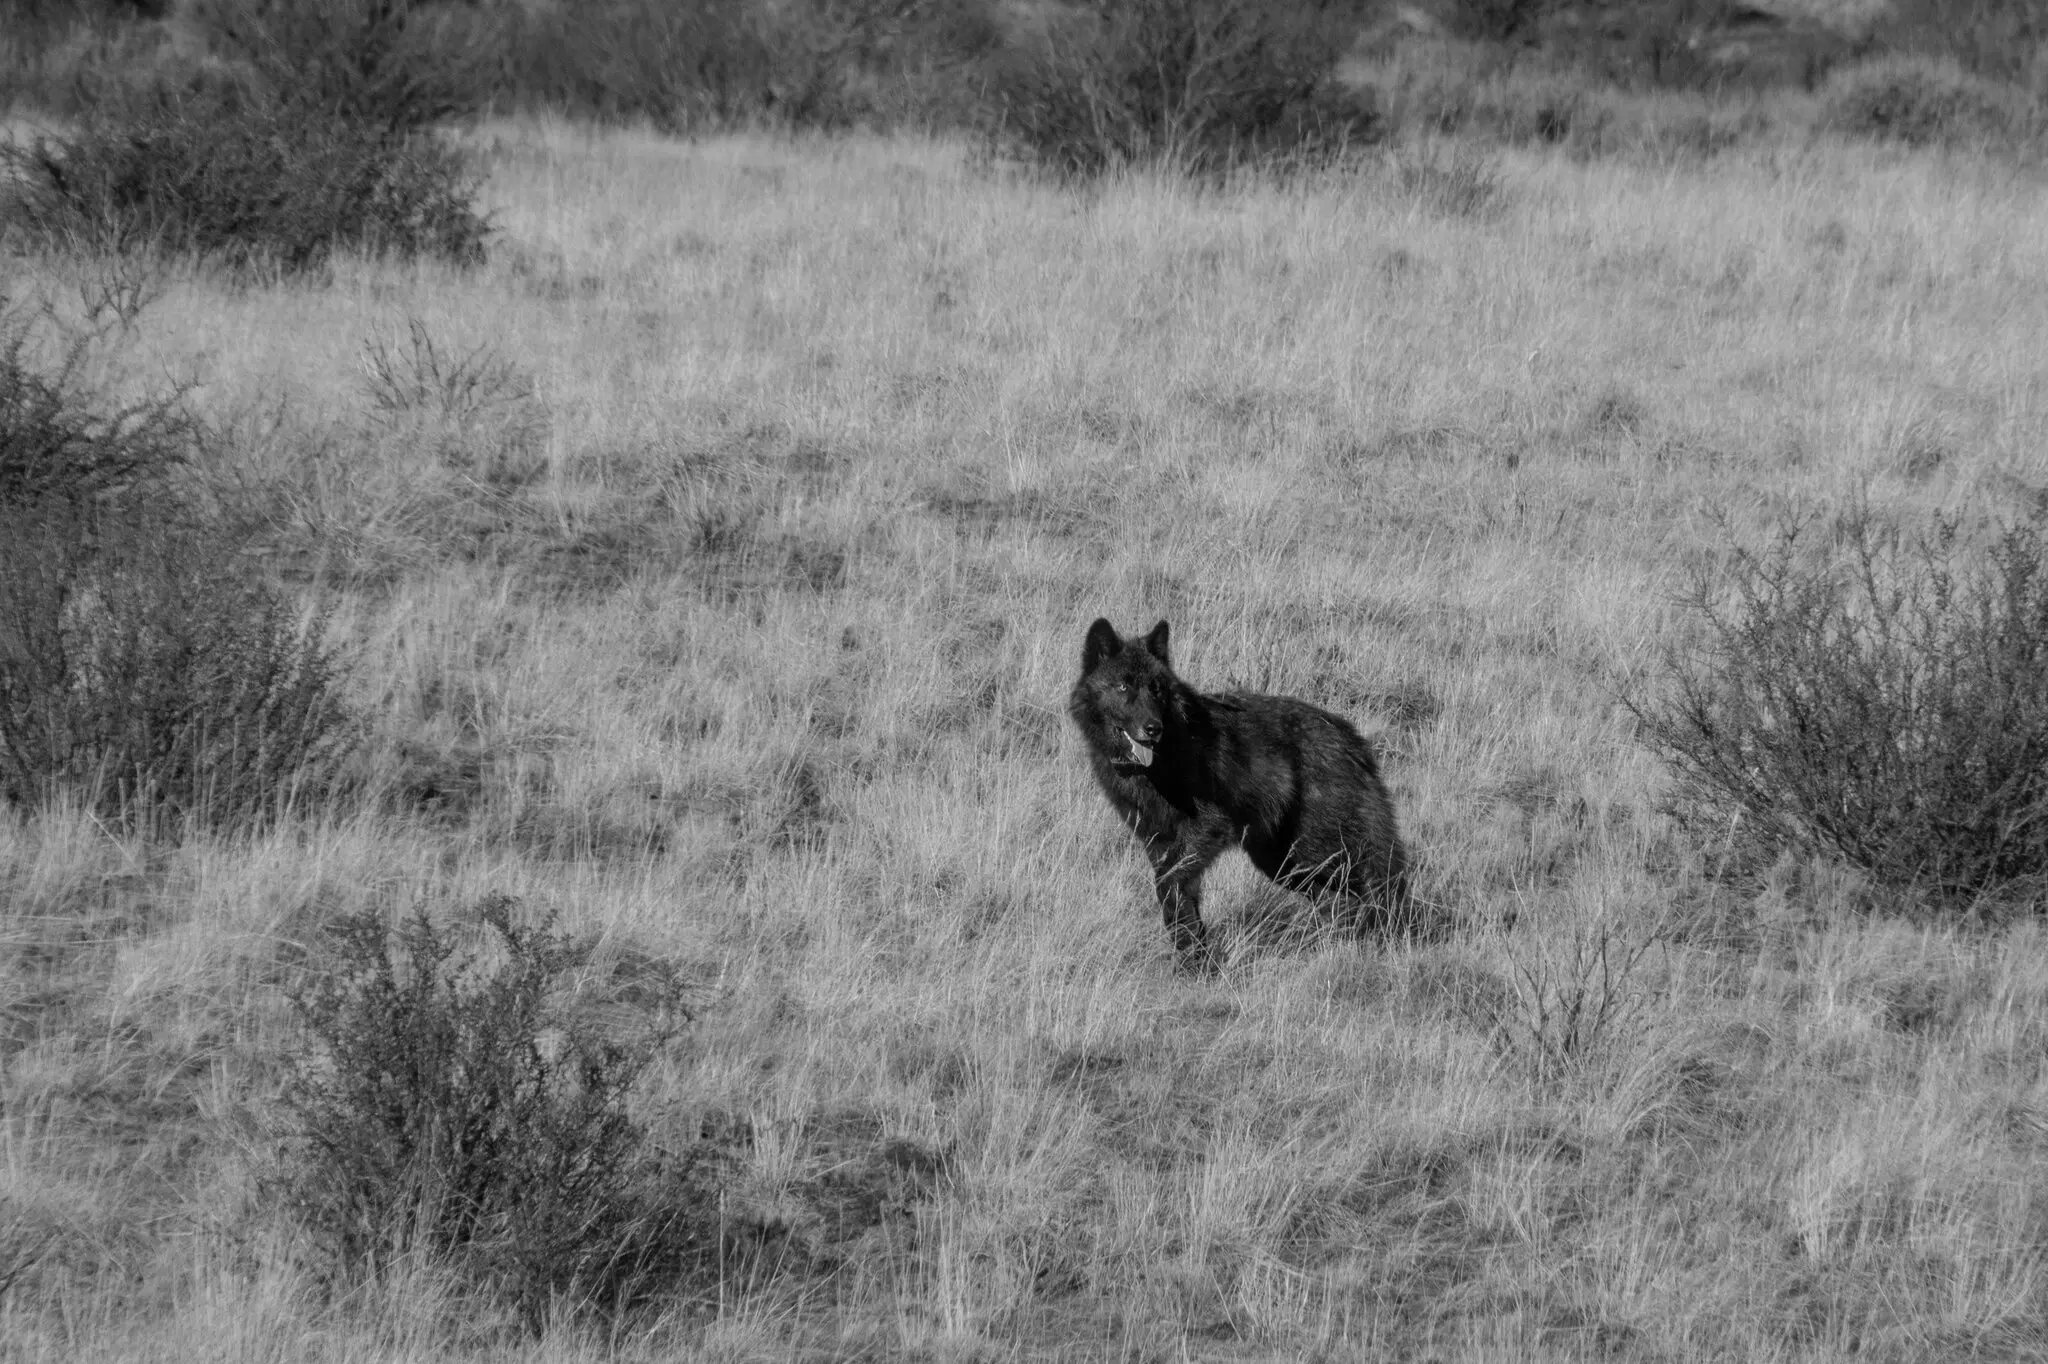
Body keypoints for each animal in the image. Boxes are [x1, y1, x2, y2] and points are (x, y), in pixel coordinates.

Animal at [1068, 618, 1412, 972]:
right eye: (1123, 687)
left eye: (1157, 689)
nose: (1153, 729)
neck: (1155, 765)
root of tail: (1351, 737)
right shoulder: (1158, 842)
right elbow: (1181, 905)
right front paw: (1194, 962)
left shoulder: (1206, 828)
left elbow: (1167, 885)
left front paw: (1193, 963)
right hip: (1284, 863)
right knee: (1340, 902)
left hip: (1317, 852)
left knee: (1376, 888)